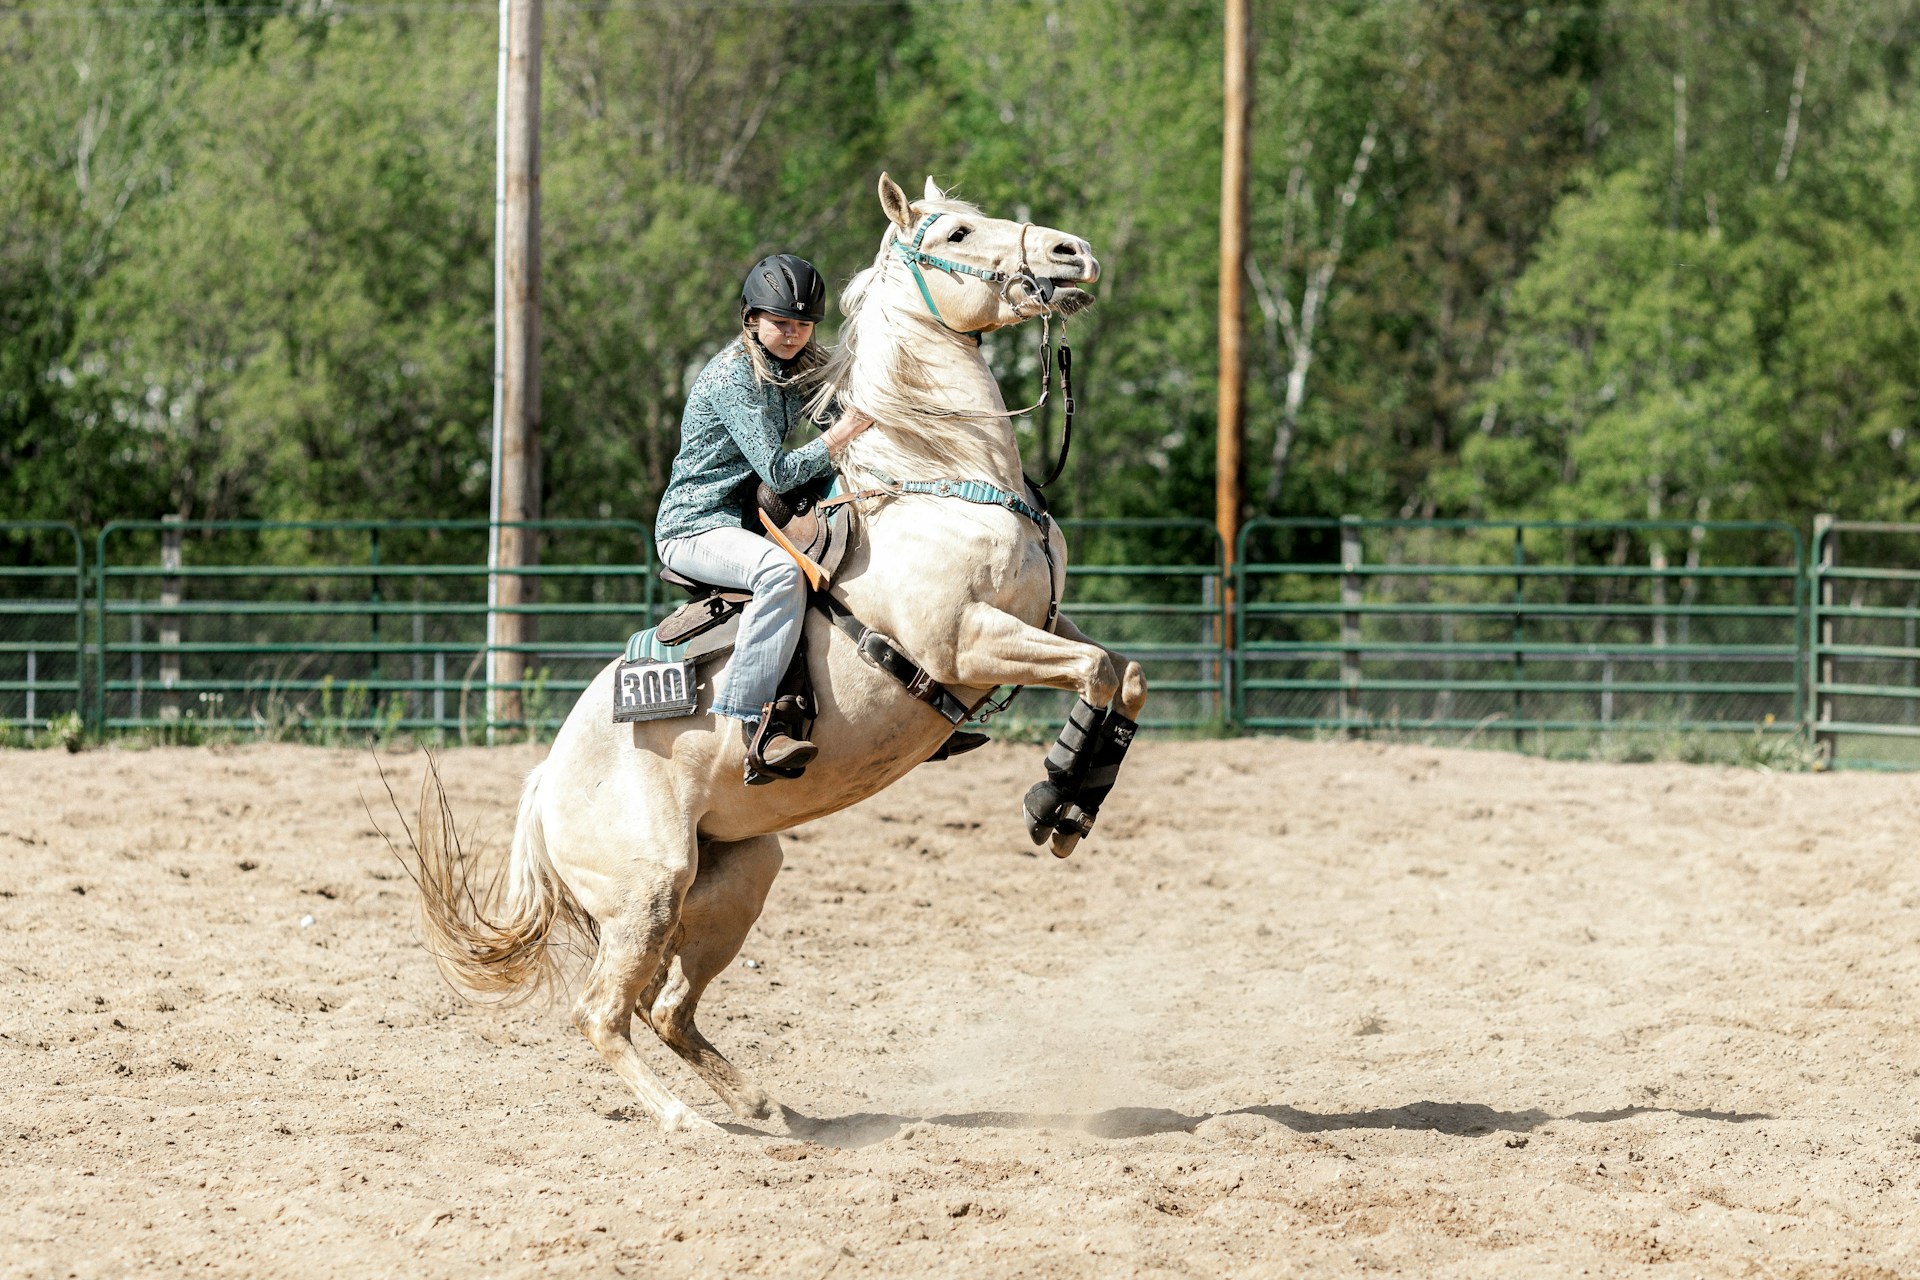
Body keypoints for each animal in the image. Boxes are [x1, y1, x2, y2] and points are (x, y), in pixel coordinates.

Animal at [409, 173, 1150, 1134]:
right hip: (650, 890)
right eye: (955, 231)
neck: (935, 476)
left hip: (739, 877)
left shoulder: (1045, 624)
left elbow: (1123, 674)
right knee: (604, 1012)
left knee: (666, 1009)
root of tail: (544, 785)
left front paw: (1075, 800)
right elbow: (1097, 672)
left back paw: (769, 1108)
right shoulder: (967, 641)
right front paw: (1054, 798)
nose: (1071, 252)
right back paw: (685, 1122)